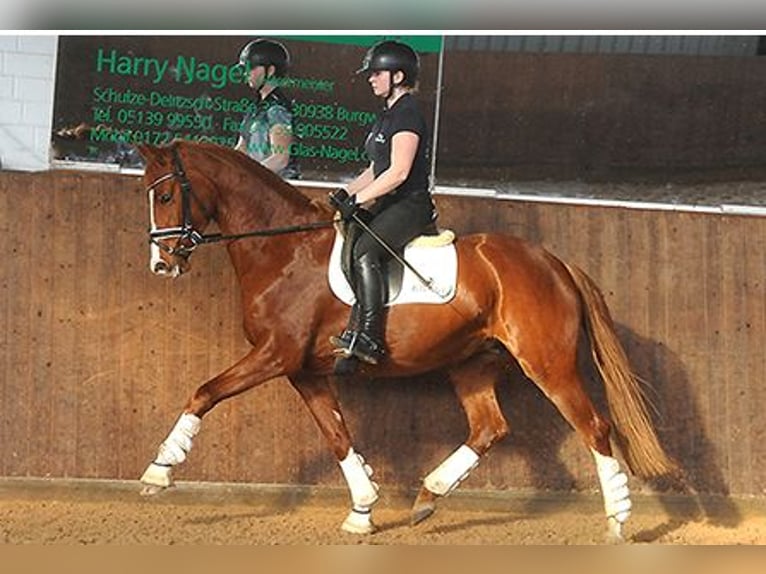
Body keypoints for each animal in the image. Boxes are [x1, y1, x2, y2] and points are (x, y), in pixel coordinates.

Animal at [138, 141, 680, 544]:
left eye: (164, 197)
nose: (162, 264)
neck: (283, 250)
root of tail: (554, 262)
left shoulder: (275, 354)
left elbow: (204, 392)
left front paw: (159, 470)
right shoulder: (304, 370)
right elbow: (338, 436)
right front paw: (362, 511)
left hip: (548, 364)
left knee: (594, 427)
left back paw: (617, 521)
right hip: (473, 364)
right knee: (490, 427)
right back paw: (427, 497)